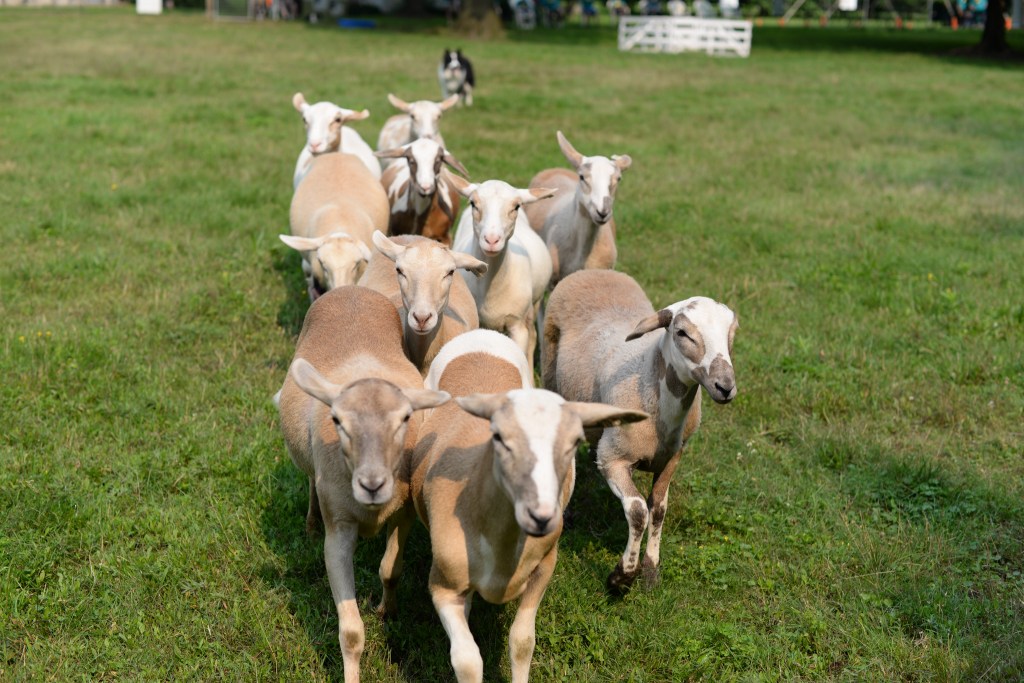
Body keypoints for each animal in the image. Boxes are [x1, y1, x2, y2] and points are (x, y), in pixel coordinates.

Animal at [276, 285, 450, 683]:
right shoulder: (338, 530)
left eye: (405, 419)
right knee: (311, 482)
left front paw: (388, 609)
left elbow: (390, 570)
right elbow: (352, 632)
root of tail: (349, 288)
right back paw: (310, 522)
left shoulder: (404, 514)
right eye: (338, 420)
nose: (373, 485)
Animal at [410, 329, 648, 682]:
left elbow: (522, 642)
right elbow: (467, 661)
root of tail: (481, 334)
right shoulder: (443, 587)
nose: (541, 516)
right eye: (499, 438)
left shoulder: (544, 567)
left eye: (574, 442)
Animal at [449, 174, 556, 367]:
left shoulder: (518, 325)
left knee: (532, 337)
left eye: (516, 206)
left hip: (534, 305)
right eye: (473, 203)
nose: (492, 240)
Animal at [541, 269, 738, 592]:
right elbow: (637, 511)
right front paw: (622, 576)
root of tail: (593, 271)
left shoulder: (672, 457)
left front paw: (650, 569)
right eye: (681, 333)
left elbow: (657, 508)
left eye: (731, 334)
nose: (725, 386)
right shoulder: (614, 460)